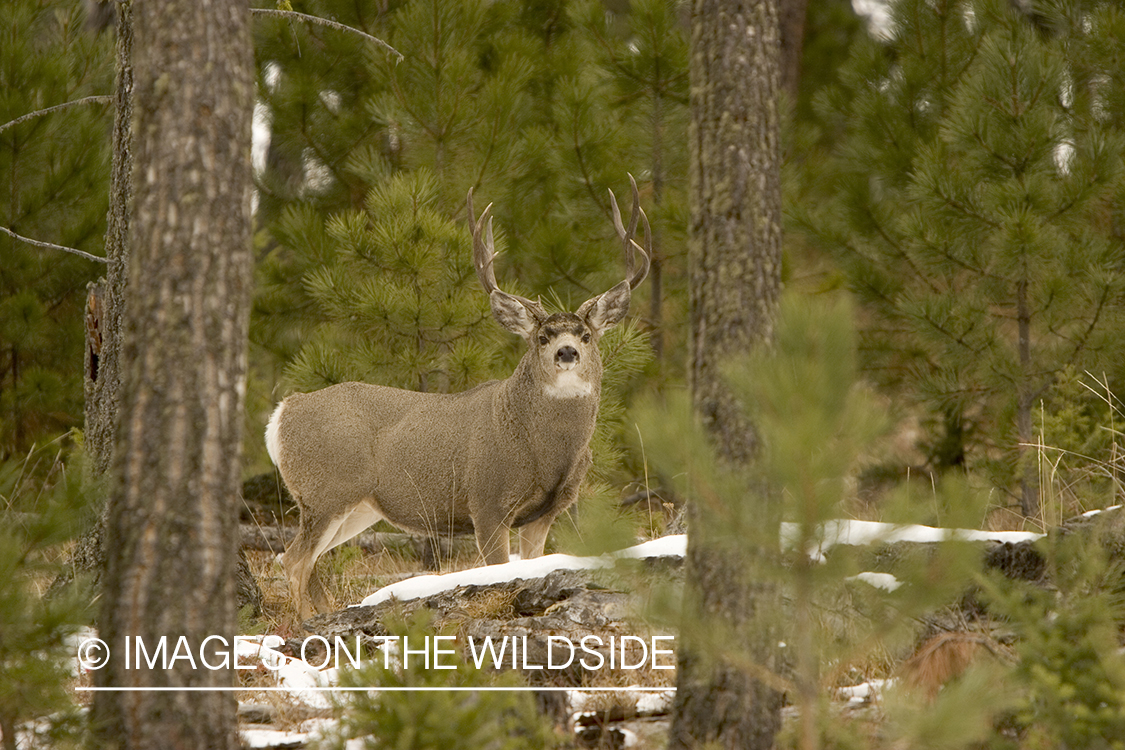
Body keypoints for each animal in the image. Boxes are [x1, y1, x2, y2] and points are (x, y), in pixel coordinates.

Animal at [264, 177, 652, 620]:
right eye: (542, 337)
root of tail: (283, 412)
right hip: (326, 490)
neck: (542, 450)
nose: (566, 352)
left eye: (587, 335)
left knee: (307, 561)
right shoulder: (487, 500)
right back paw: (306, 622)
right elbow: (498, 570)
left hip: (355, 506)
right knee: (293, 560)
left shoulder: (546, 513)